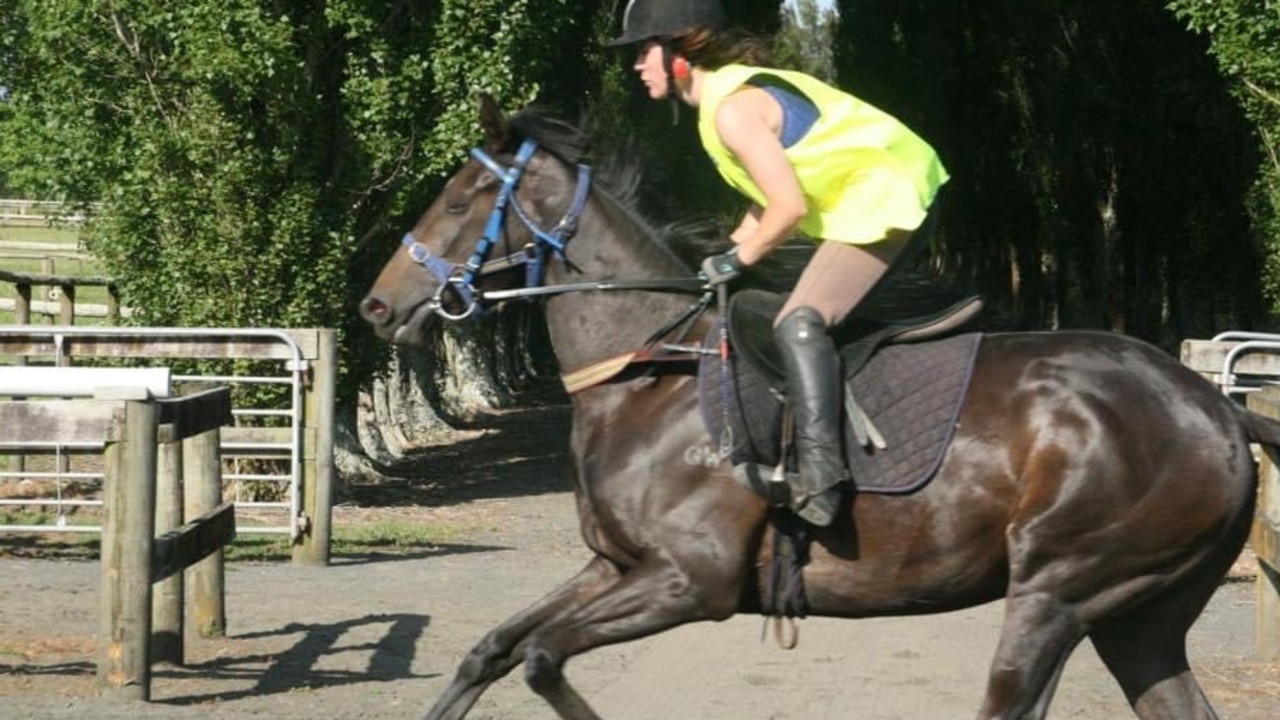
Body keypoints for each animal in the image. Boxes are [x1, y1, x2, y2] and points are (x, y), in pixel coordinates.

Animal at [360, 96, 1280, 717]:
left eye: (459, 198)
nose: (376, 306)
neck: (647, 373)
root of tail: (1217, 409)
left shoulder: (689, 581)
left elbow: (544, 657)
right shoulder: (616, 566)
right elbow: (493, 650)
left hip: (1060, 591)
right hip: (1141, 618)